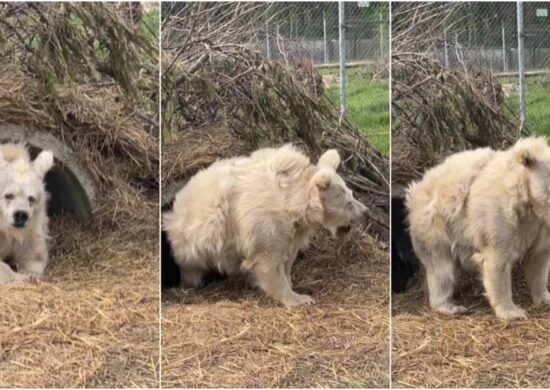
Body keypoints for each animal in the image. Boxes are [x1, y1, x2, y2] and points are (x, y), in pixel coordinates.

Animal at [0, 144, 54, 280]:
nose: (20, 215)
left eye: (31, 198)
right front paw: (19, 277)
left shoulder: (31, 230)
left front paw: (30, 274)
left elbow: (35, 254)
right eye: (8, 195)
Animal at [165, 144, 370, 308]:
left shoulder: (294, 229)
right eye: (348, 203)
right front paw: (299, 298)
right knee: (191, 270)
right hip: (193, 242)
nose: (365, 211)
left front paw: (291, 282)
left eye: (352, 194)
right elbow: (266, 260)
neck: (292, 201)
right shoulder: (264, 221)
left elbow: (287, 256)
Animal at [408, 137, 550, 320]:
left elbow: (538, 260)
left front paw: (544, 297)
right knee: (441, 267)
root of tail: (416, 188)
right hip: (435, 223)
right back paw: (450, 306)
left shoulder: (540, 227)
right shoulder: (499, 216)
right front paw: (513, 312)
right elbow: (497, 261)